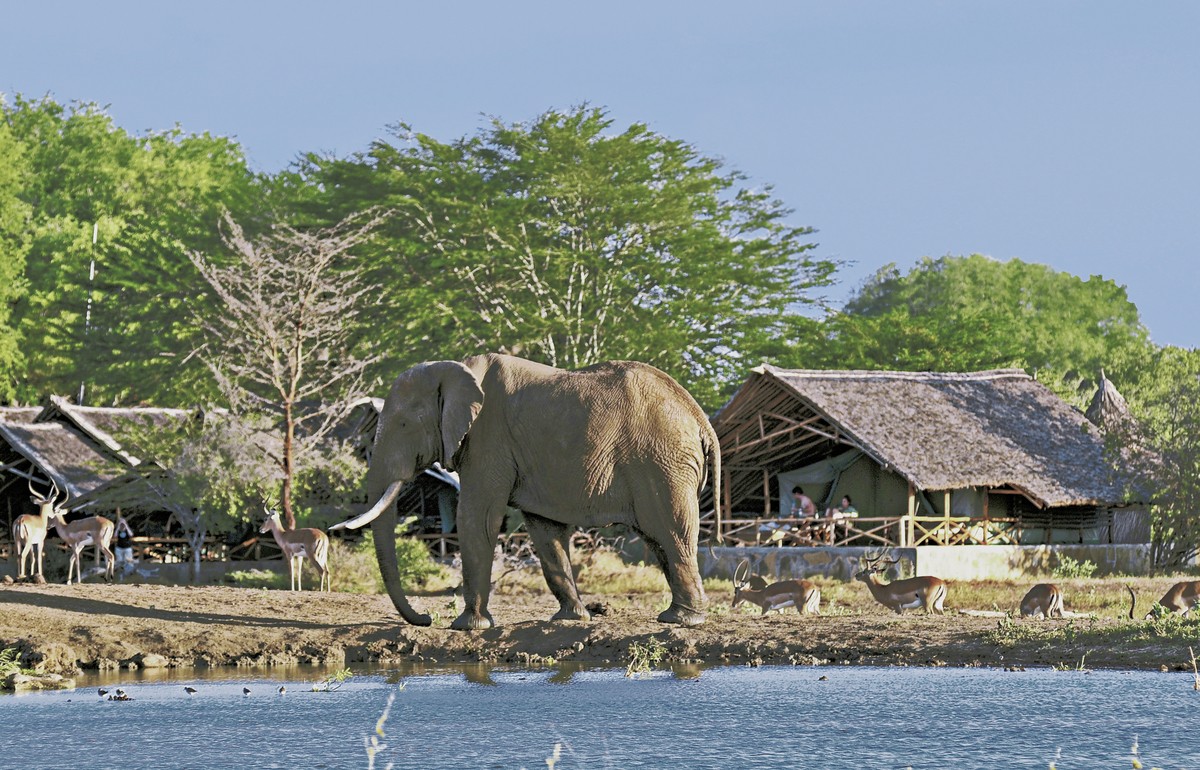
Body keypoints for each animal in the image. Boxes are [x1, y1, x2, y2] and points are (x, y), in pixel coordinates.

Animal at [331, 355, 720, 628]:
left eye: (403, 424)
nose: (425, 619)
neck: (458, 370)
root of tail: (701, 419)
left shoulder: (488, 440)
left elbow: (478, 518)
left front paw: (467, 627)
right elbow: (545, 531)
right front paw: (570, 620)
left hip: (662, 462)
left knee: (670, 533)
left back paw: (682, 620)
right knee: (660, 540)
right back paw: (676, 615)